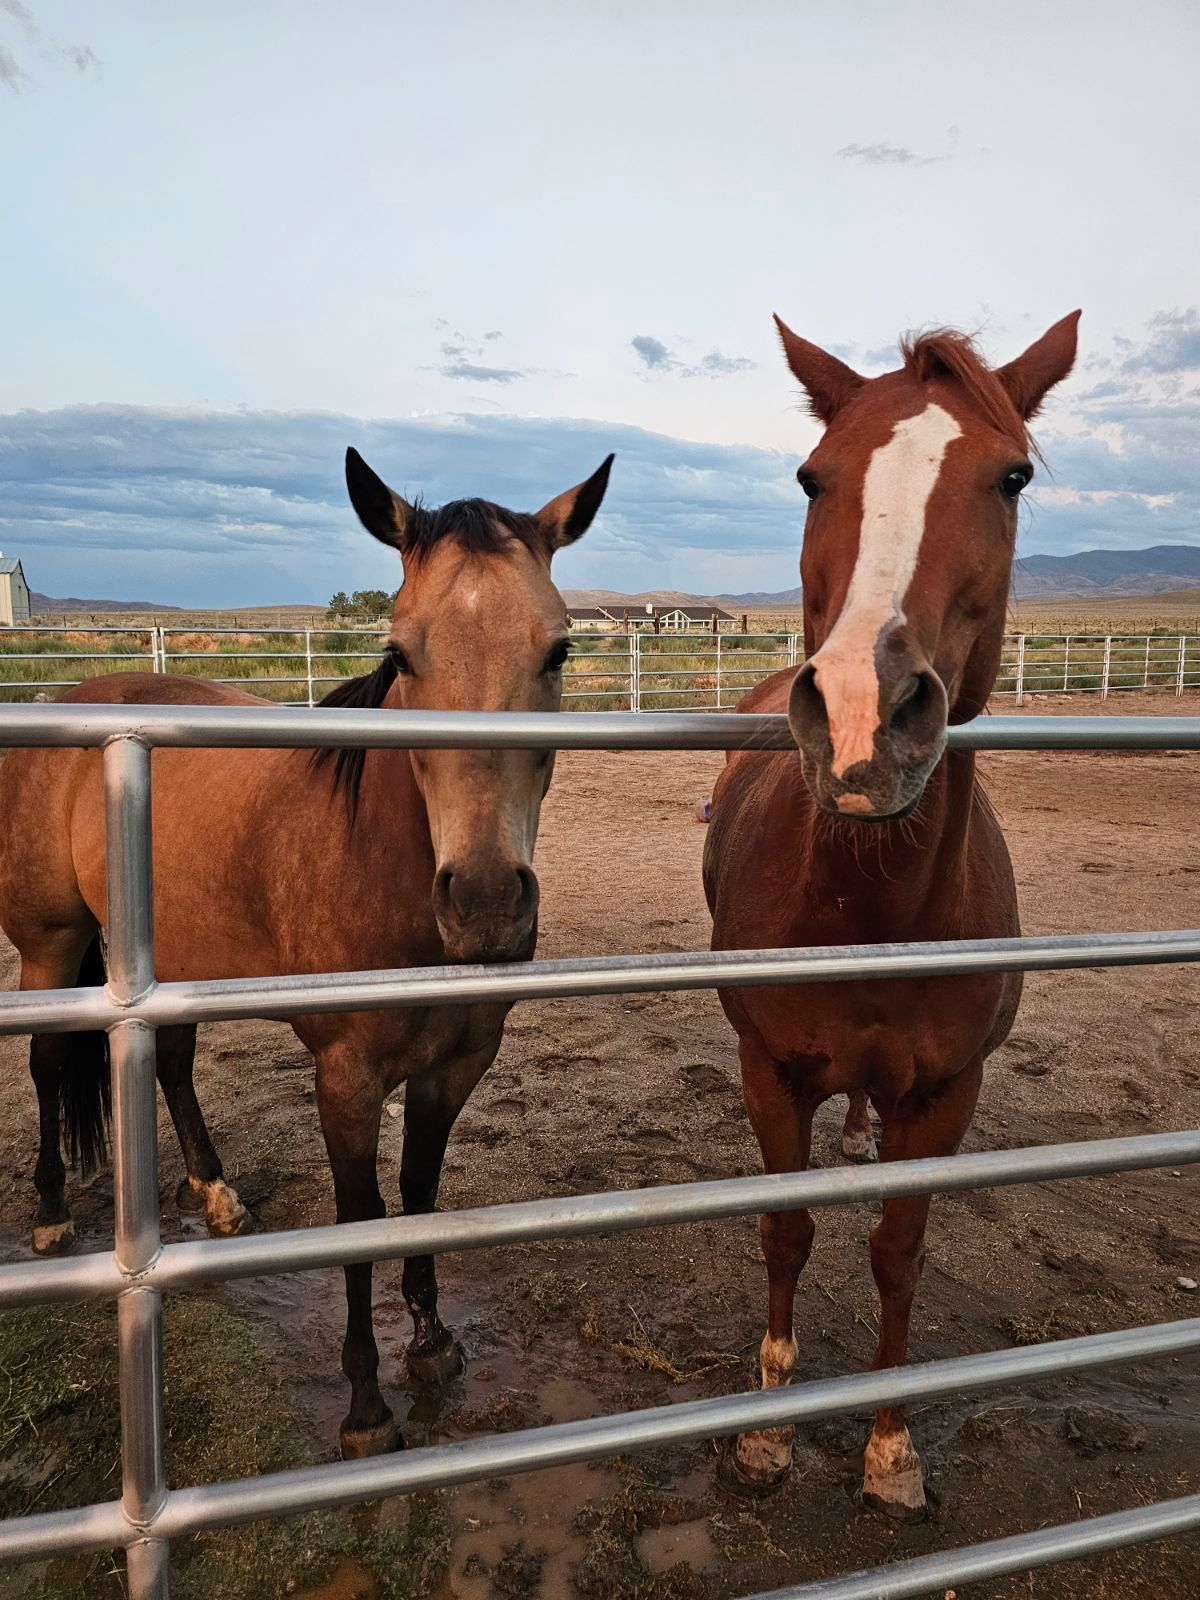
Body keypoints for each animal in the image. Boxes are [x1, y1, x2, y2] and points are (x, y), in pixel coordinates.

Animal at [0, 446, 613, 1458]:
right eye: (400, 654)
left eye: (558, 650)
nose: (486, 903)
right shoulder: (347, 1078)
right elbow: (358, 1220)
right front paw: (365, 1408)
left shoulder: (456, 1066)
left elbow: (418, 1191)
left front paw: (432, 1337)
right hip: (52, 944)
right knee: (50, 1064)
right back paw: (49, 1218)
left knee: (170, 1064)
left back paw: (216, 1193)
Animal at [703, 311, 1079, 1516]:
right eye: (811, 476)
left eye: (1011, 477)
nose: (865, 716)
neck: (872, 904)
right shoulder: (770, 1074)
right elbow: (787, 1231)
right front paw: (768, 1433)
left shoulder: (947, 1096)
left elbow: (897, 1250)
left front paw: (889, 1446)